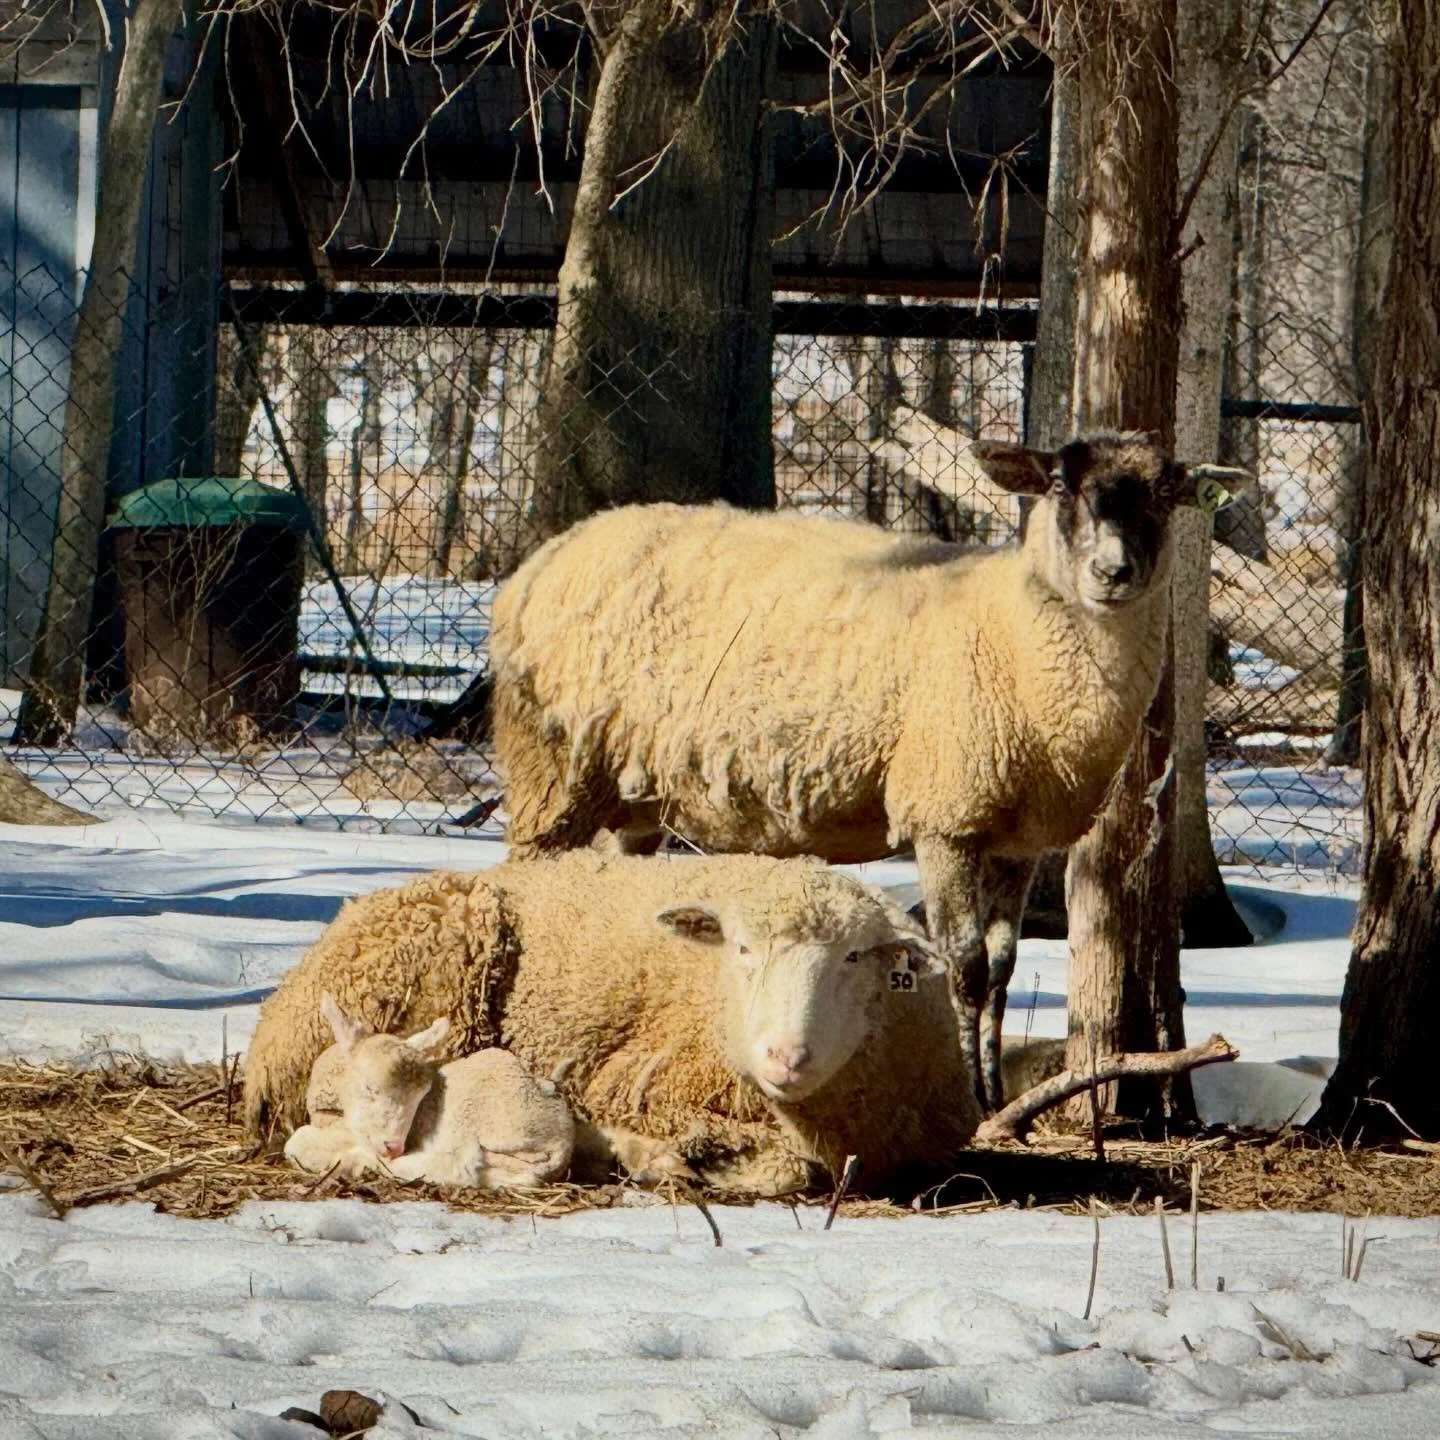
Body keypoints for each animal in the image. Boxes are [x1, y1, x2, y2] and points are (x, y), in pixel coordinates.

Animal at [283, 995, 574, 1188]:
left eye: (421, 1096)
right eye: (369, 1088)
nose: (394, 1148)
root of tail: (563, 1141)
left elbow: (296, 1143)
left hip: (493, 1122)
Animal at [489, 433, 1249, 1112]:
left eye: (1166, 492)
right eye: (1062, 486)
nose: (1115, 573)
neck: (1014, 633)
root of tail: (542, 561)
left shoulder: (1019, 837)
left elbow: (1003, 967)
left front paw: (999, 1095)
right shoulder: (946, 814)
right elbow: (964, 967)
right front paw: (971, 1095)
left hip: (633, 797)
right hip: (551, 770)